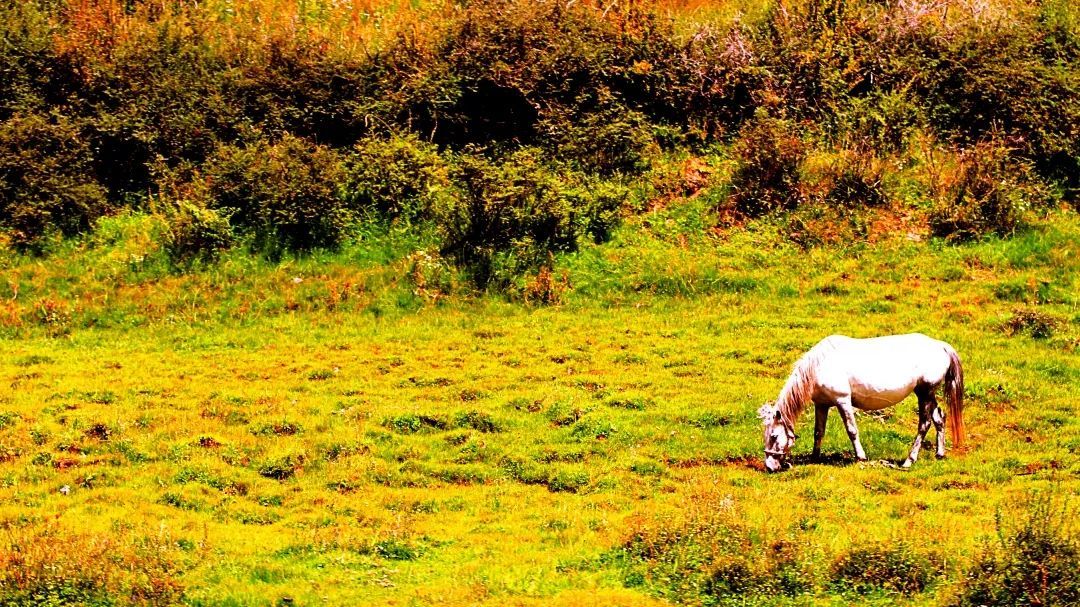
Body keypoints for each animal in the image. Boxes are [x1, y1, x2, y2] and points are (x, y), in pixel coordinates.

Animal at [756, 332, 967, 470]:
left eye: (773, 436)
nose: (770, 467)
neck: (819, 365)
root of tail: (941, 346)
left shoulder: (843, 401)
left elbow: (852, 430)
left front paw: (861, 457)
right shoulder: (822, 404)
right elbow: (818, 432)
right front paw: (814, 458)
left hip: (925, 393)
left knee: (924, 424)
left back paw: (909, 461)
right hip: (927, 394)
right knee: (939, 418)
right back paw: (939, 454)